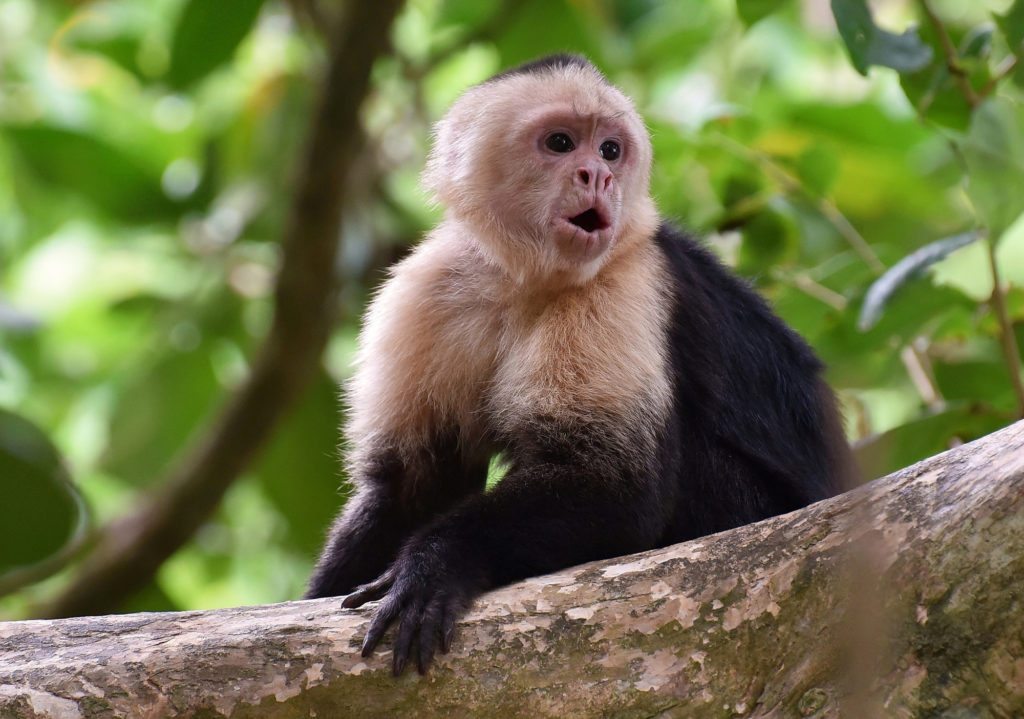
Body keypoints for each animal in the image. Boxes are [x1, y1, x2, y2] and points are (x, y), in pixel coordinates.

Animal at [305, 54, 854, 676]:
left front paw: (435, 562)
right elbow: (414, 484)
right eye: (561, 143)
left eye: (611, 150)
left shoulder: (627, 280)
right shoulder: (427, 287)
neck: (526, 277)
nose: (599, 177)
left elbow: (613, 486)